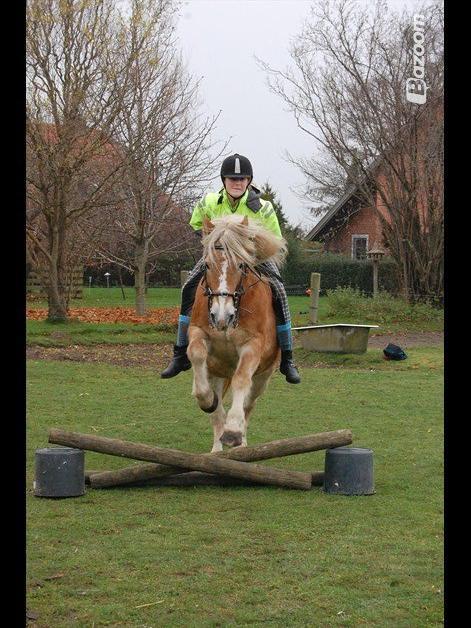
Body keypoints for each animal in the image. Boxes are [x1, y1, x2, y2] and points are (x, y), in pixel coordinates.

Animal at [188, 215, 288, 452]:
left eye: (241, 264)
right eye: (207, 264)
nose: (221, 315)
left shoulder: (253, 345)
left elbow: (241, 379)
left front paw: (233, 430)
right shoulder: (198, 332)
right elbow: (195, 353)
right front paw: (204, 398)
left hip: (262, 378)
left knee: (248, 404)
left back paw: (240, 442)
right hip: (216, 372)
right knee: (217, 414)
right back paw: (216, 450)